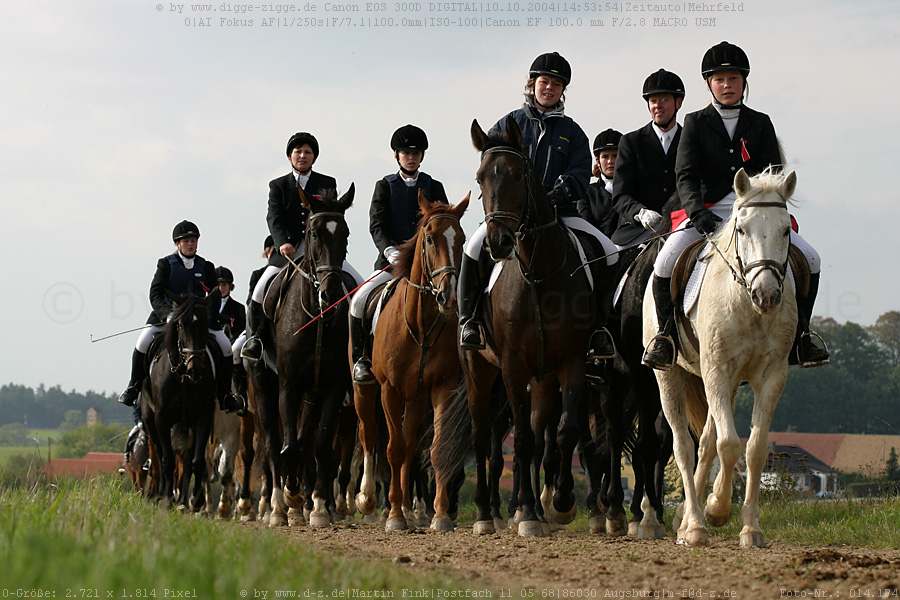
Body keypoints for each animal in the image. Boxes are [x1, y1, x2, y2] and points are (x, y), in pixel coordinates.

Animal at [142, 292, 217, 508]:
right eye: (181, 326)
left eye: (206, 323)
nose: (196, 370)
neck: (183, 377)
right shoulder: (161, 418)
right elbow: (166, 460)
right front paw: (167, 499)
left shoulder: (203, 417)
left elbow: (196, 461)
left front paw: (194, 500)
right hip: (150, 422)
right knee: (160, 456)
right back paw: (162, 494)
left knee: (186, 459)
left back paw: (184, 500)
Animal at [250, 185, 358, 528]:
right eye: (313, 232)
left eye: (346, 233)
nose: (331, 294)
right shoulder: (289, 385)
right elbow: (288, 447)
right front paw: (291, 497)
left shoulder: (334, 385)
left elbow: (319, 447)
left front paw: (319, 508)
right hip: (264, 388)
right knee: (274, 445)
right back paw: (277, 507)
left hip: (313, 394)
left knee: (307, 442)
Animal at [460, 119, 624, 536]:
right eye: (480, 177)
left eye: (520, 175)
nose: (499, 243)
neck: (537, 273)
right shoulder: (513, 366)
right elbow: (522, 440)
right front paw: (531, 513)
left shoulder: (571, 362)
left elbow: (564, 432)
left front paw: (561, 503)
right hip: (479, 371)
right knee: (481, 436)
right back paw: (488, 514)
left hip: (546, 376)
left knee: (542, 434)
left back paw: (532, 506)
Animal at [644, 169, 800, 548]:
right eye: (741, 229)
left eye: (785, 230)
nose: (767, 294)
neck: (747, 304)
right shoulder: (716, 371)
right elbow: (729, 445)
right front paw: (716, 511)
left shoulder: (771, 377)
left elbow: (754, 449)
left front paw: (750, 529)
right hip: (672, 376)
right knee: (684, 446)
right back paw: (694, 526)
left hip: (726, 385)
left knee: (705, 445)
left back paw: (685, 520)